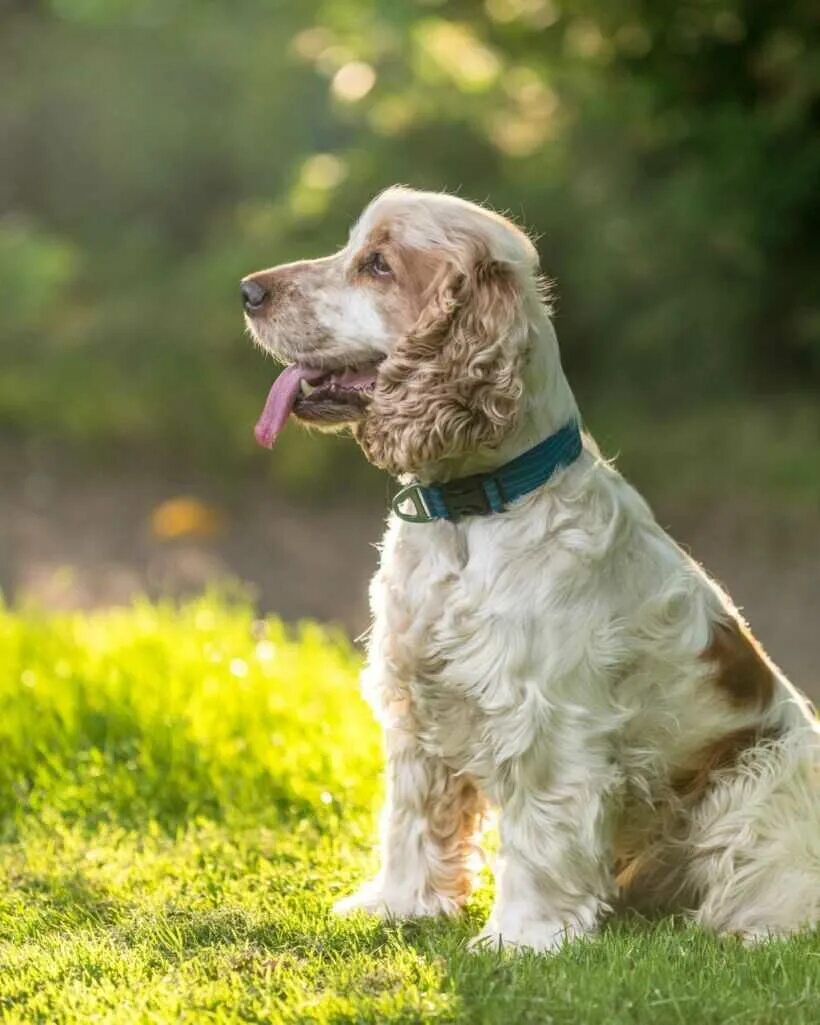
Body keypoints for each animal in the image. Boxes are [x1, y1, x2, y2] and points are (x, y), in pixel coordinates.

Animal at [243, 186, 820, 951]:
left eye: (378, 265)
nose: (249, 290)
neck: (467, 516)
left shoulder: (545, 724)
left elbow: (541, 834)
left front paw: (521, 938)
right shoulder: (417, 705)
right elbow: (413, 820)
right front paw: (398, 904)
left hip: (754, 788)